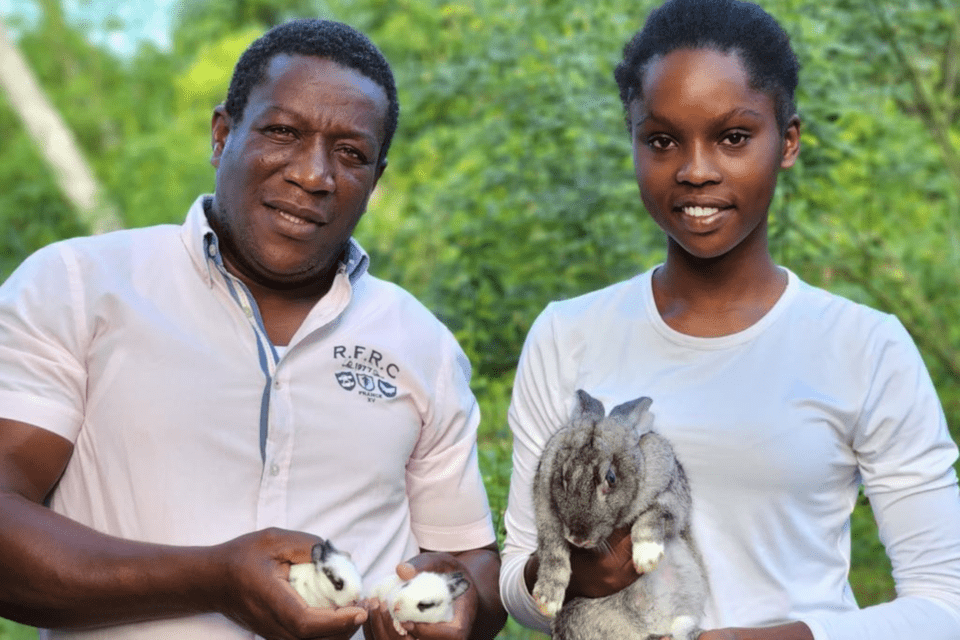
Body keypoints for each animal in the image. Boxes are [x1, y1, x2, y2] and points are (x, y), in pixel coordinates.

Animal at [532, 390, 704, 640]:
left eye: (611, 478)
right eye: (563, 475)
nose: (577, 538)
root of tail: (654, 623)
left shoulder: (672, 499)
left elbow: (651, 517)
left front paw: (647, 557)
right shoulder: (547, 517)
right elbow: (553, 552)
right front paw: (546, 600)